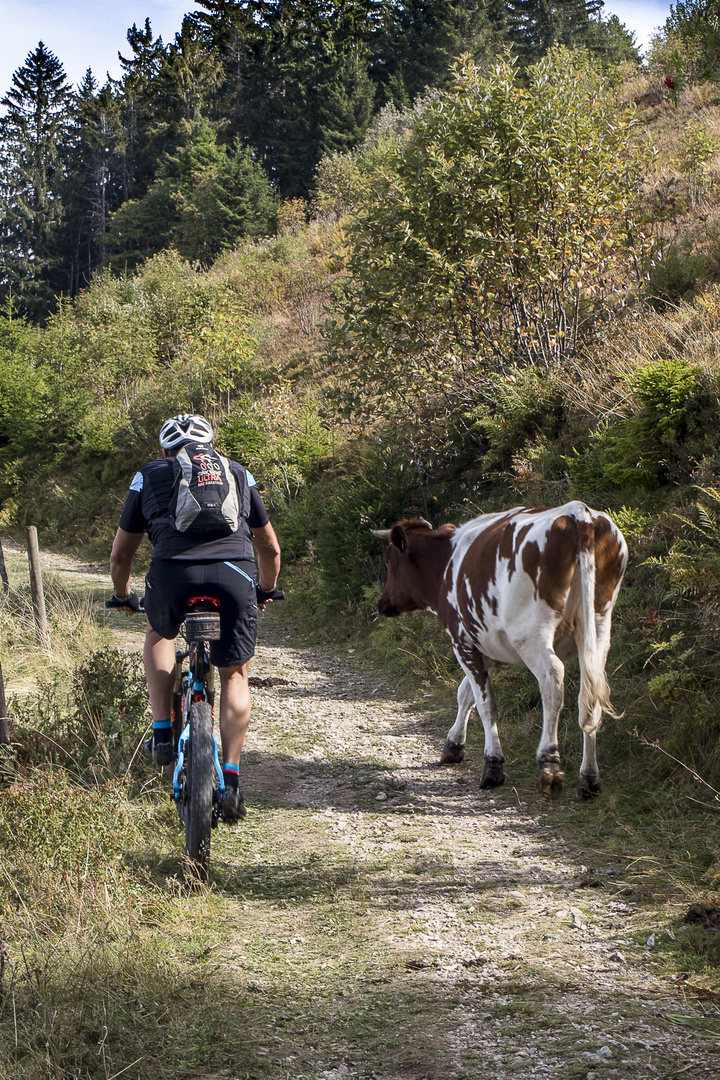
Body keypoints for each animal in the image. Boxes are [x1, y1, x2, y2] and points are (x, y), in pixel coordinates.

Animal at [375, 501, 626, 799]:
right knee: (590, 697)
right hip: (599, 629)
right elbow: (465, 694)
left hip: (530, 636)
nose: (382, 603)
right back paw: (589, 779)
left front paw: (492, 766)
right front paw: (453, 746)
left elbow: (485, 703)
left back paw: (549, 764)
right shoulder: (491, 648)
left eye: (388, 561)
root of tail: (577, 512)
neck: (447, 561)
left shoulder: (462, 642)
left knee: (552, 680)